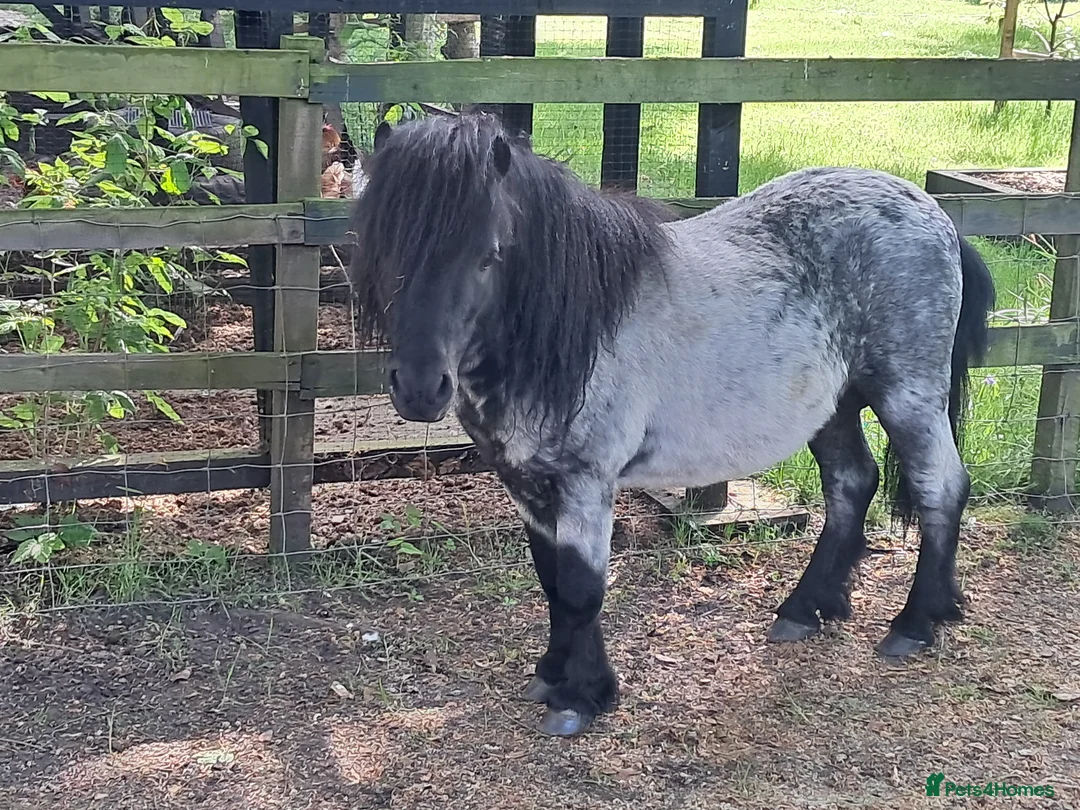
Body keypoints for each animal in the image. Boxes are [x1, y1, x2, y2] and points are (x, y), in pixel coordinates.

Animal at [347, 111, 996, 737]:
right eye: (384, 245)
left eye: (489, 255)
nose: (419, 388)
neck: (570, 330)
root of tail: (934, 214)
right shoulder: (527, 484)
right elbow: (551, 581)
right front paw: (551, 675)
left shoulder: (587, 483)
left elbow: (581, 588)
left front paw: (581, 698)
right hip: (832, 406)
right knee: (851, 484)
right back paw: (803, 609)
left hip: (909, 396)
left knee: (941, 488)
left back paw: (915, 623)